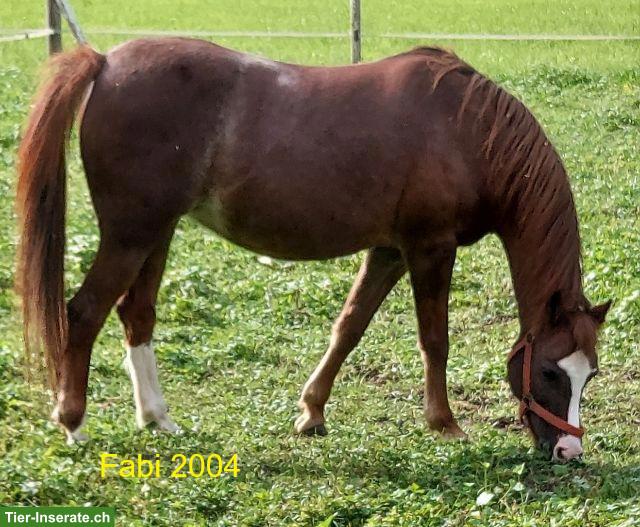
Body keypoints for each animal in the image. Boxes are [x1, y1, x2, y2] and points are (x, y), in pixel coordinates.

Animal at [16, 38, 610, 461]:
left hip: (155, 233)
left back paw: (158, 419)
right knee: (83, 312)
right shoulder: (429, 248)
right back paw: (73, 423)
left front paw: (312, 413)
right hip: (130, 234)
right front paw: (445, 424)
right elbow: (434, 341)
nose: (569, 450)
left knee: (135, 314)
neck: (467, 132)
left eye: (592, 375)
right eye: (552, 373)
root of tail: (105, 62)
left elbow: (349, 327)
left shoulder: (389, 251)